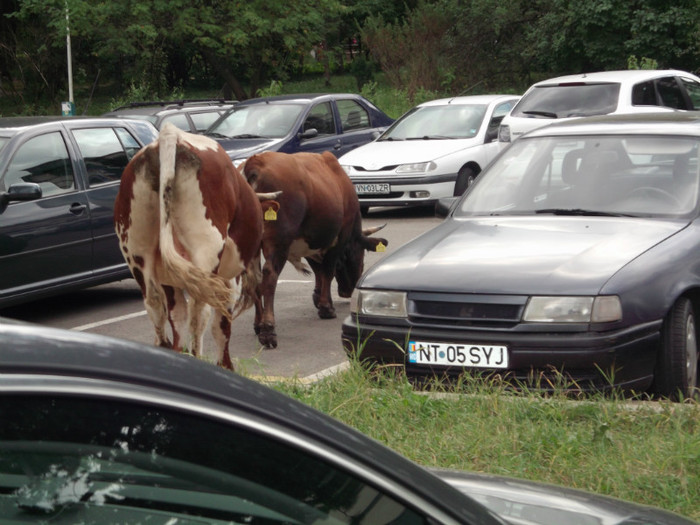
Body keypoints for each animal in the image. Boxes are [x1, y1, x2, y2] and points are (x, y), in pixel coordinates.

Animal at [114, 122, 278, 368]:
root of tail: (170, 135)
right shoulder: (229, 279)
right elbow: (221, 324)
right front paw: (225, 366)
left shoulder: (169, 280)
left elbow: (177, 316)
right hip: (206, 252)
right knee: (199, 312)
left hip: (136, 252)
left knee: (155, 304)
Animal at [242, 150, 388, 348]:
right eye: (359, 255)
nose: (346, 291)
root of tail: (256, 162)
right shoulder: (339, 238)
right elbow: (327, 271)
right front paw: (326, 308)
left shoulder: (312, 242)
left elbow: (319, 271)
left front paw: (319, 298)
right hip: (278, 241)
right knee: (269, 276)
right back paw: (268, 330)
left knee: (253, 279)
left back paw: (258, 324)